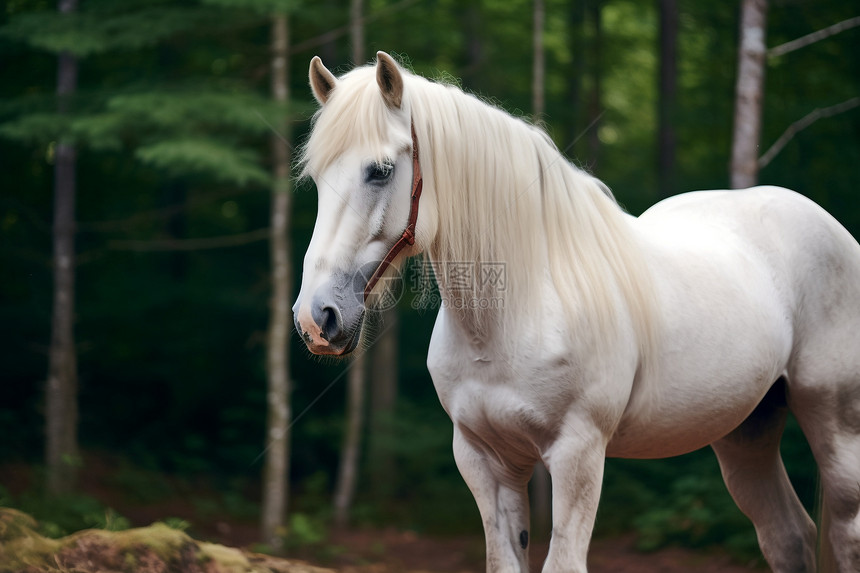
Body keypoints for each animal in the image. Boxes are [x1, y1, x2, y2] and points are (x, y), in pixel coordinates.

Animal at [290, 51, 860, 568]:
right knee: (789, 536)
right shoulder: (484, 460)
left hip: (836, 428)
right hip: (746, 432)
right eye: (317, 178)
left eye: (381, 170)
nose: (317, 319)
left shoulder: (578, 455)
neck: (513, 315)